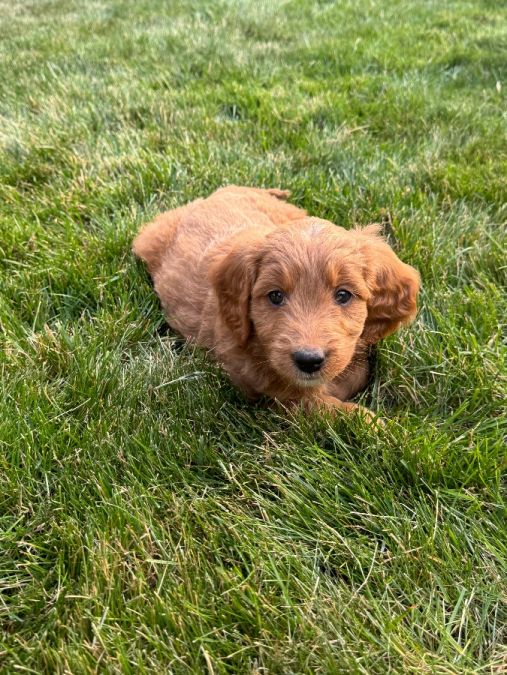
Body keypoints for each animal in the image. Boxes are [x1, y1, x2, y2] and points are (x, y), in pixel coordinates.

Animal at [132, 187, 420, 420]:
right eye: (275, 296)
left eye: (343, 295)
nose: (309, 361)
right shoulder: (267, 393)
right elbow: (319, 406)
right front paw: (375, 425)